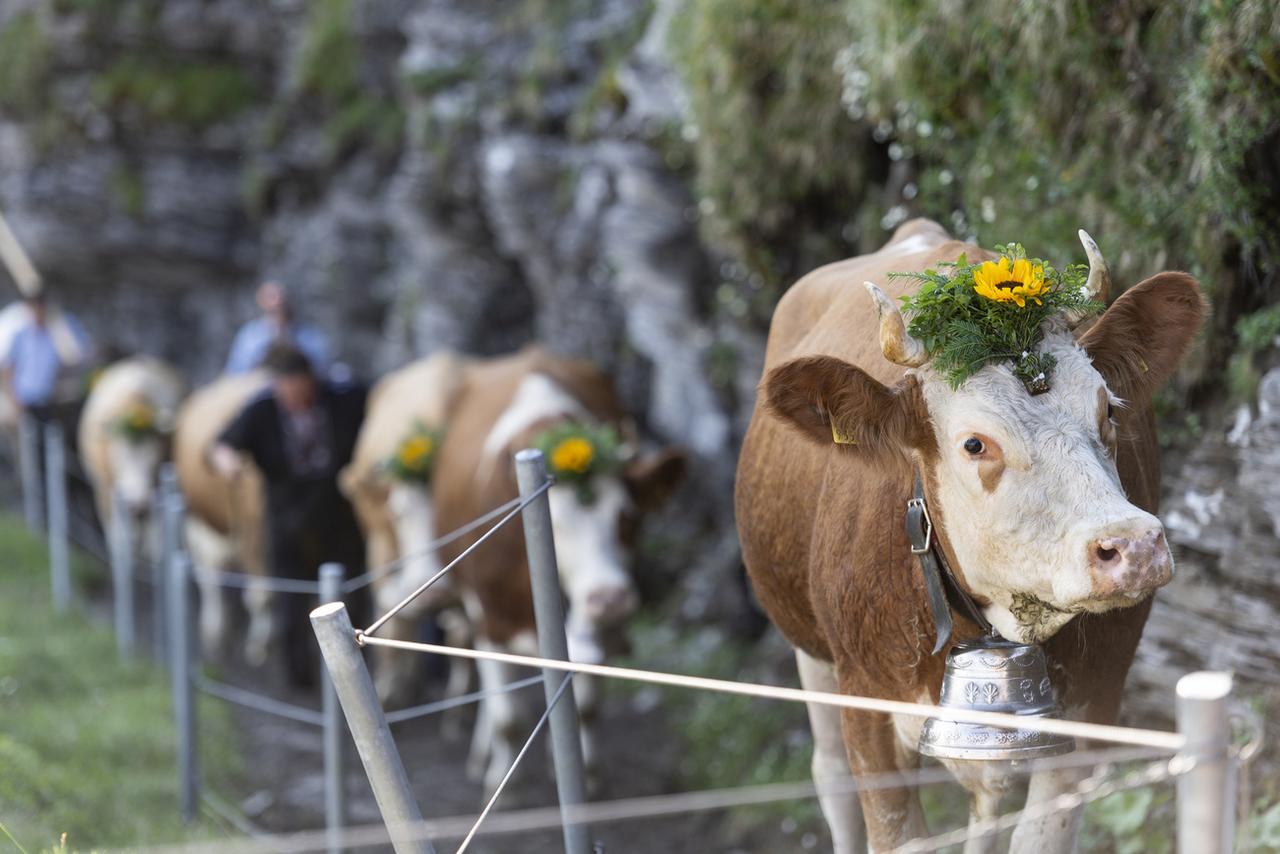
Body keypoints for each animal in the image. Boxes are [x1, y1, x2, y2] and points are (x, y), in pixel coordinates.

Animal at [737, 222, 1203, 854]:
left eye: (1108, 409)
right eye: (975, 444)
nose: (1132, 545)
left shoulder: (1095, 705)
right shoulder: (866, 713)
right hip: (809, 648)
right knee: (829, 775)